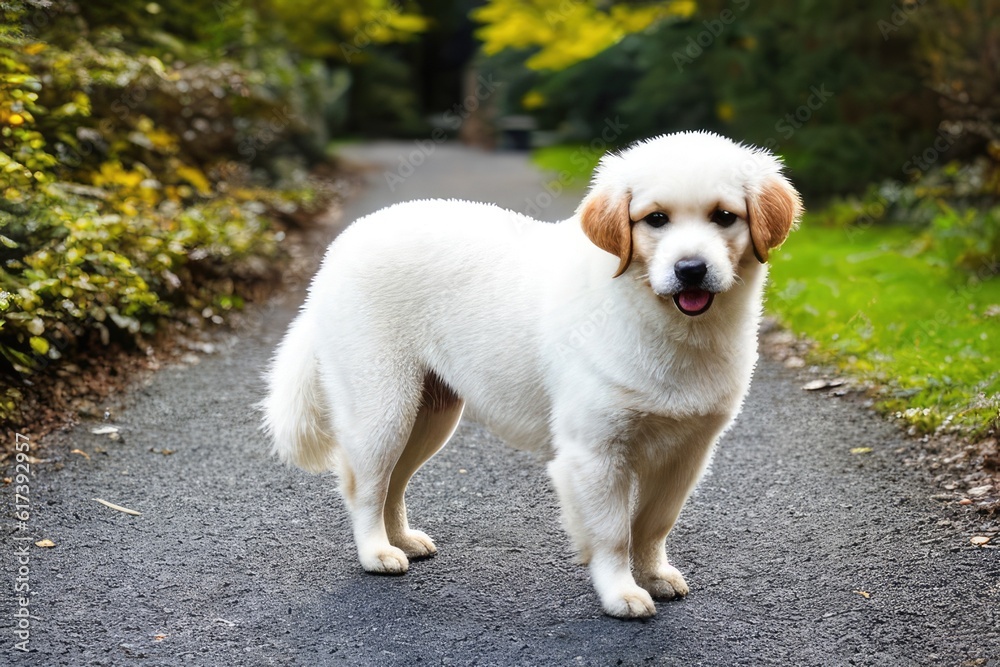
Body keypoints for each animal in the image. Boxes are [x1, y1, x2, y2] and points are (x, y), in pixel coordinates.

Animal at [262, 132, 800, 620]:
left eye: (724, 217)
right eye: (656, 219)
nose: (691, 269)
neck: (671, 328)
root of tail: (339, 248)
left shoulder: (688, 452)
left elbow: (653, 524)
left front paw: (652, 575)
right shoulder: (594, 452)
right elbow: (612, 533)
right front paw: (620, 593)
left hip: (430, 415)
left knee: (394, 481)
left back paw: (403, 539)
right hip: (383, 407)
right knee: (366, 485)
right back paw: (376, 552)